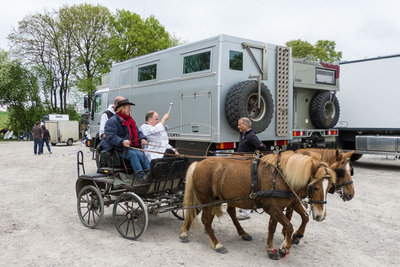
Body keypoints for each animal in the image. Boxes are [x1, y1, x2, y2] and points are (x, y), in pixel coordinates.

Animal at [180, 152, 336, 260]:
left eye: (329, 188)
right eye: (315, 187)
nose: (320, 216)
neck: (282, 177)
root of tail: (198, 164)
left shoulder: (284, 205)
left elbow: (290, 222)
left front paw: (276, 246)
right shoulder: (273, 208)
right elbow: (288, 226)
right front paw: (284, 247)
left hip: (213, 201)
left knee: (200, 213)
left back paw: (185, 233)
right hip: (208, 200)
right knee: (206, 220)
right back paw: (216, 244)